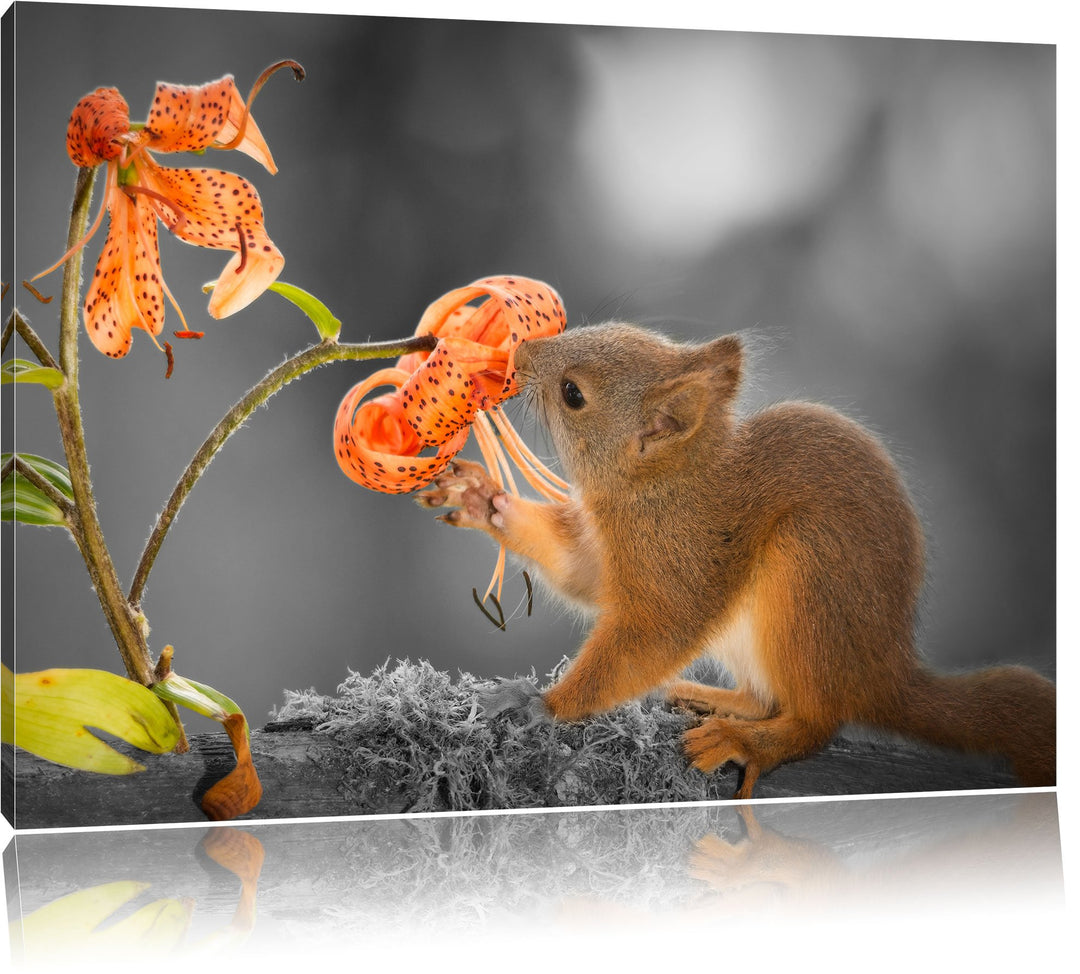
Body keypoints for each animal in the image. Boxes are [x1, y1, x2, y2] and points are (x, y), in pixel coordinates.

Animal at [417, 323, 1056, 799]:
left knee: (815, 721)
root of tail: (880, 672)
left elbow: (654, 632)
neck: (660, 485)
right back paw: (707, 698)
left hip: (808, 577)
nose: (518, 354)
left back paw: (750, 742)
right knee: (762, 698)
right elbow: (582, 575)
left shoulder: (682, 559)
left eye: (573, 394)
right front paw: (484, 500)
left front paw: (542, 705)